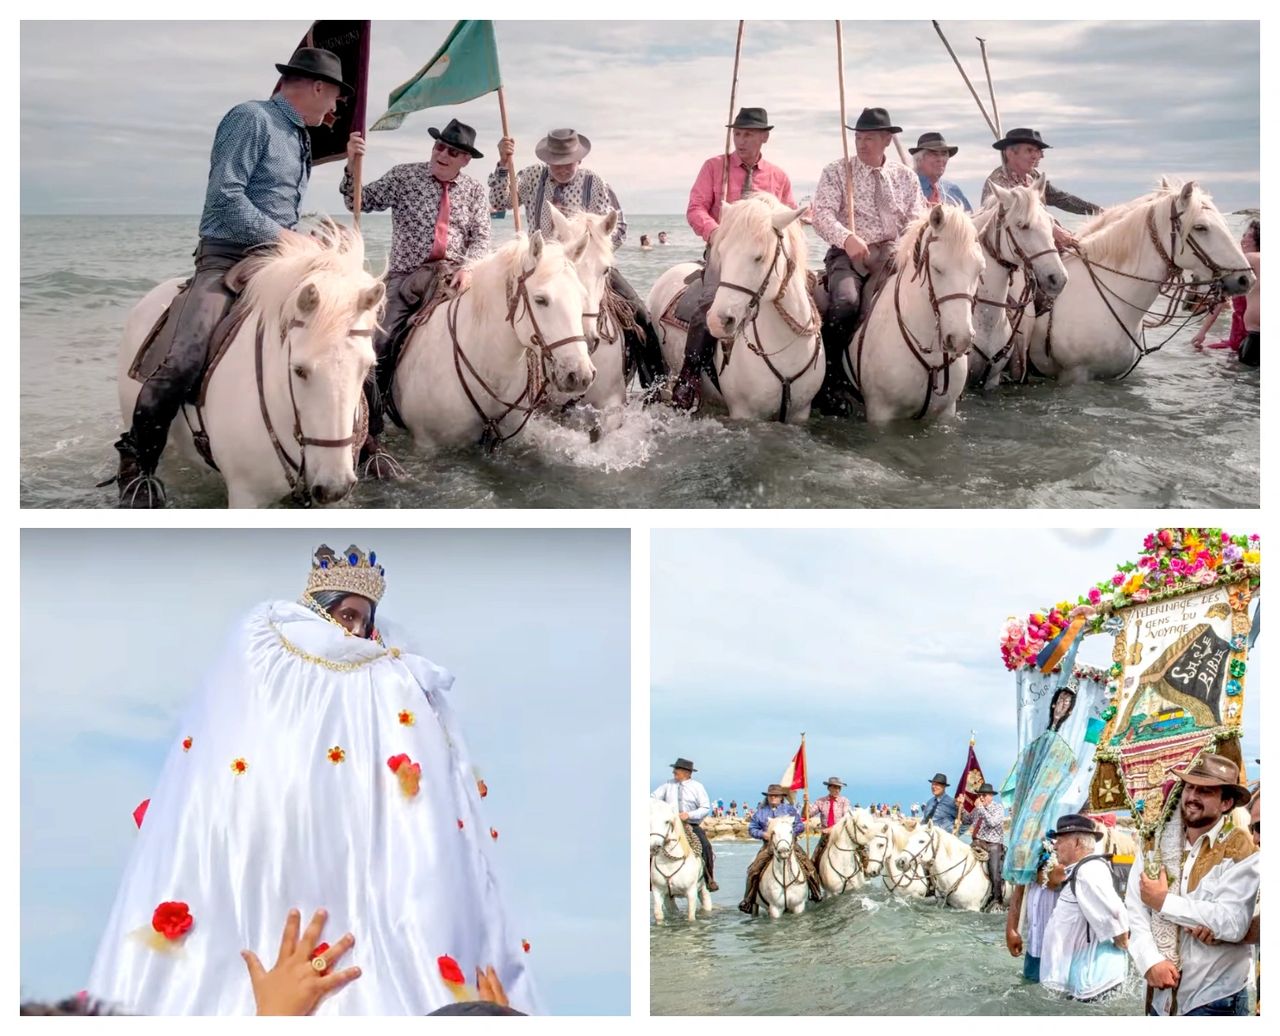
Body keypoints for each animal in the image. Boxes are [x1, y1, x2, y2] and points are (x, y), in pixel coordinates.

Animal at [650, 194, 819, 420]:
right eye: (721, 254)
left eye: (759, 257)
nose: (718, 321)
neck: (784, 350)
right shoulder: (744, 412)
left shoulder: (800, 413)